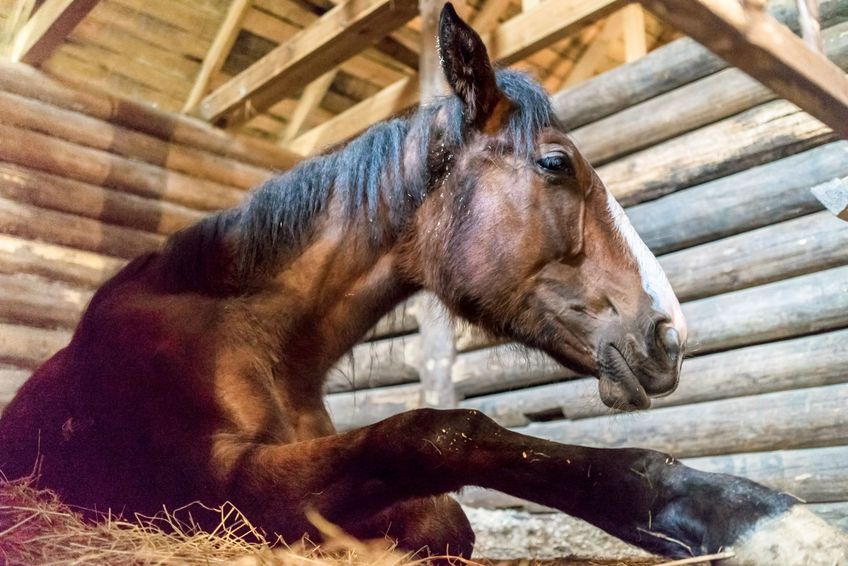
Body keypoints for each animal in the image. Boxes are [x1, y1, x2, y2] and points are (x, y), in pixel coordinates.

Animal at [0, 5, 844, 566]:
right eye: (556, 164)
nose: (668, 335)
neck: (255, 333)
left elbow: (447, 513)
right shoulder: (223, 486)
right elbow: (440, 434)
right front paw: (756, 520)